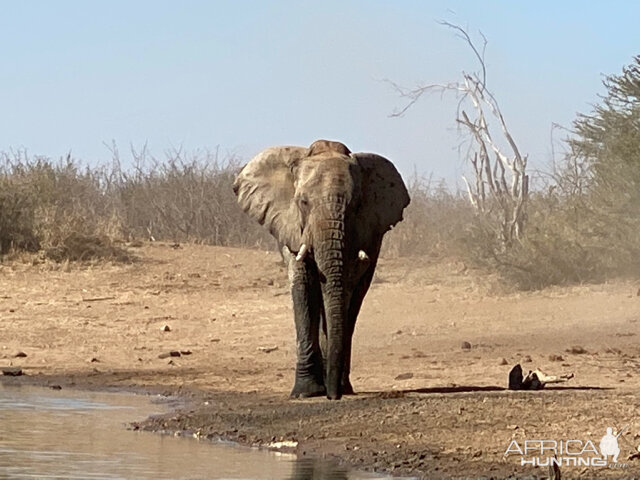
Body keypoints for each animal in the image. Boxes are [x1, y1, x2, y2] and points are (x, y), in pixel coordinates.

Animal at [234, 140, 410, 402]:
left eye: (356, 205)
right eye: (303, 202)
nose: (333, 397)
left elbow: (344, 288)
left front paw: (329, 388)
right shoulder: (292, 227)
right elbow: (304, 285)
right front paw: (305, 393)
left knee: (354, 298)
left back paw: (341, 384)